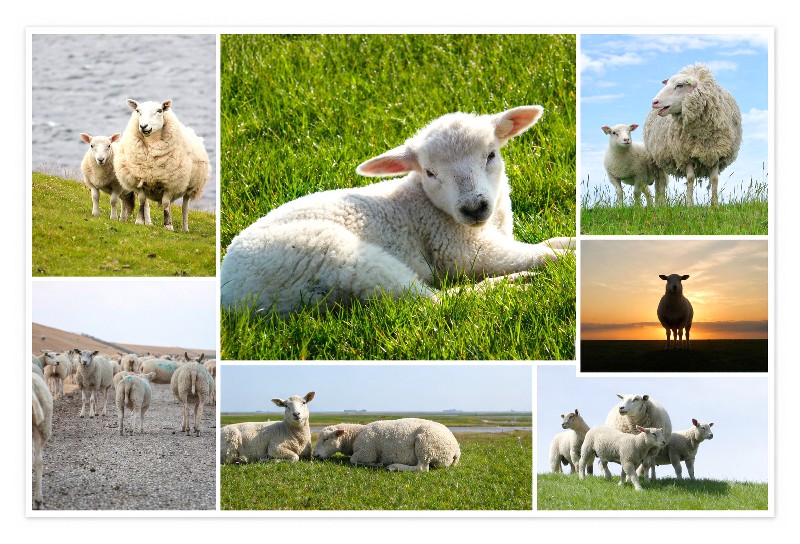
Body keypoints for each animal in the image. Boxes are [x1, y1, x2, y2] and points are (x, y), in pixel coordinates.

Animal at [113, 99, 210, 231]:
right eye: (137, 111)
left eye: (159, 111)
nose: (143, 126)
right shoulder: (139, 180)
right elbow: (142, 200)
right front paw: (139, 221)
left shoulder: (170, 184)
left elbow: (165, 203)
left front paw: (168, 225)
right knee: (148, 204)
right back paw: (148, 222)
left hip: (191, 187)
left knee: (184, 208)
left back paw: (185, 229)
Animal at [221, 106, 574, 317]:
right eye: (430, 172)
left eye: (491, 154)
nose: (474, 207)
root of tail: (231, 296)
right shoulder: (460, 250)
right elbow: (544, 255)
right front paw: (565, 262)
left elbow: (547, 244)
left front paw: (569, 243)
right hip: (332, 255)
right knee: (433, 302)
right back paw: (507, 286)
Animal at [312, 418, 461, 472]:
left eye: (326, 439)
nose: (315, 455)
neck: (355, 435)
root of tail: (456, 450)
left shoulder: (367, 452)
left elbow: (353, 460)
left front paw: (376, 464)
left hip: (426, 444)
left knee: (422, 468)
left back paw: (393, 467)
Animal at [644, 63, 742, 206]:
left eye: (679, 85)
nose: (654, 102)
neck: (703, 133)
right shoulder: (685, 154)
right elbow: (690, 178)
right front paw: (689, 204)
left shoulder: (716, 152)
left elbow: (714, 179)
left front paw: (715, 205)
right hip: (656, 160)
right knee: (660, 182)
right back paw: (660, 205)